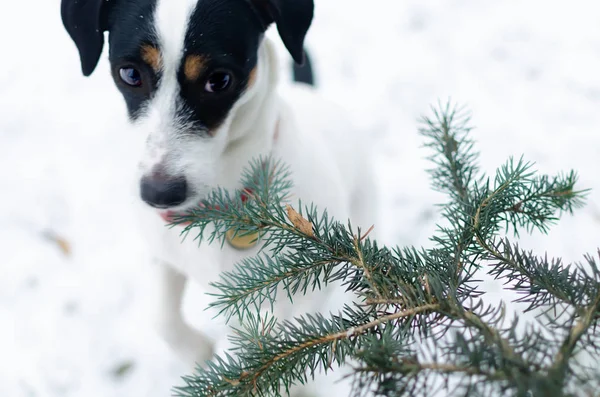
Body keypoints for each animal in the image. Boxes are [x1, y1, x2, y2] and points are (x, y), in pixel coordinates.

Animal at [63, 0, 378, 392]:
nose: (159, 194)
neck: (220, 210)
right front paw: (199, 353)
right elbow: (162, 318)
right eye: (130, 74)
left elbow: (287, 338)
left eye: (219, 80)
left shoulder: (309, 281)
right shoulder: (163, 255)